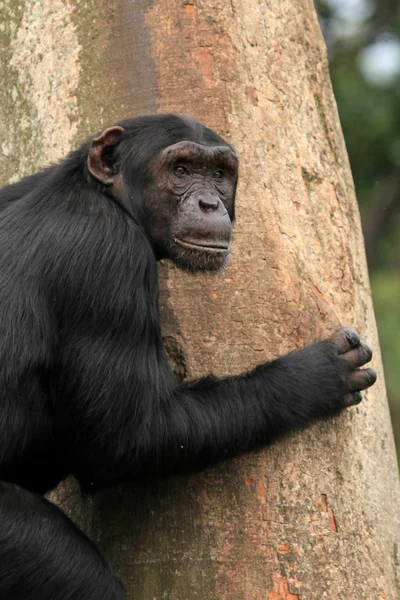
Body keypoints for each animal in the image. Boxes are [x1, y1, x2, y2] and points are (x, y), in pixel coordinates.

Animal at [0, 111, 376, 596]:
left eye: (218, 174)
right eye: (180, 170)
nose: (209, 204)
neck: (102, 196)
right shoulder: (107, 259)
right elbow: (131, 434)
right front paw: (315, 376)